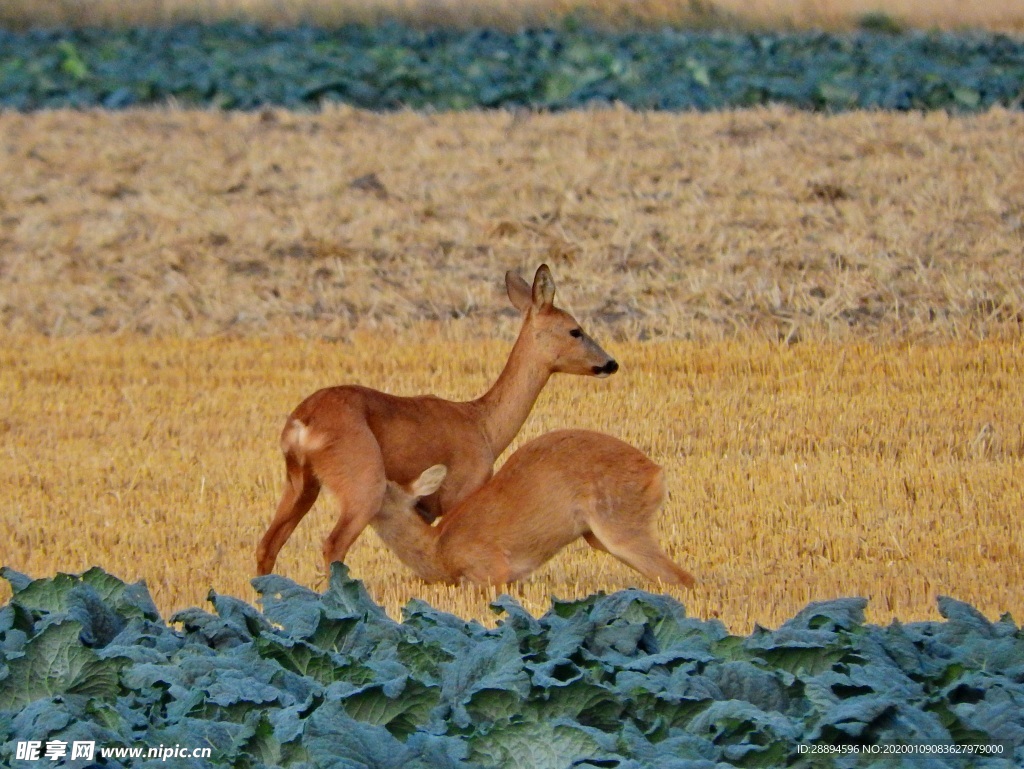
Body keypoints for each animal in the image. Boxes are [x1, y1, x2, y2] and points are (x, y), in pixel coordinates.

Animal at [254, 266, 614, 577]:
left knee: (267, 544)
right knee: (332, 545)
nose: (611, 363)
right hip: (362, 482)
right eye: (575, 330)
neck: (483, 425)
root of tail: (303, 423)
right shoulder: (462, 489)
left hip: (299, 482)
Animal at [370, 428, 696, 589]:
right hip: (599, 536)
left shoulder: (490, 569)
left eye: (385, 487)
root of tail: (656, 472)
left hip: (620, 525)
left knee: (682, 579)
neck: (438, 549)